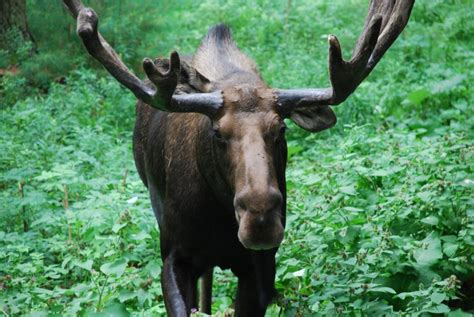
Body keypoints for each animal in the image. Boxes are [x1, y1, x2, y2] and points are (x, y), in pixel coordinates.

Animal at [64, 0, 414, 314]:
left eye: (281, 129)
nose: (260, 219)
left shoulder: (262, 267)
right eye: (217, 132)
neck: (218, 219)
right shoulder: (173, 256)